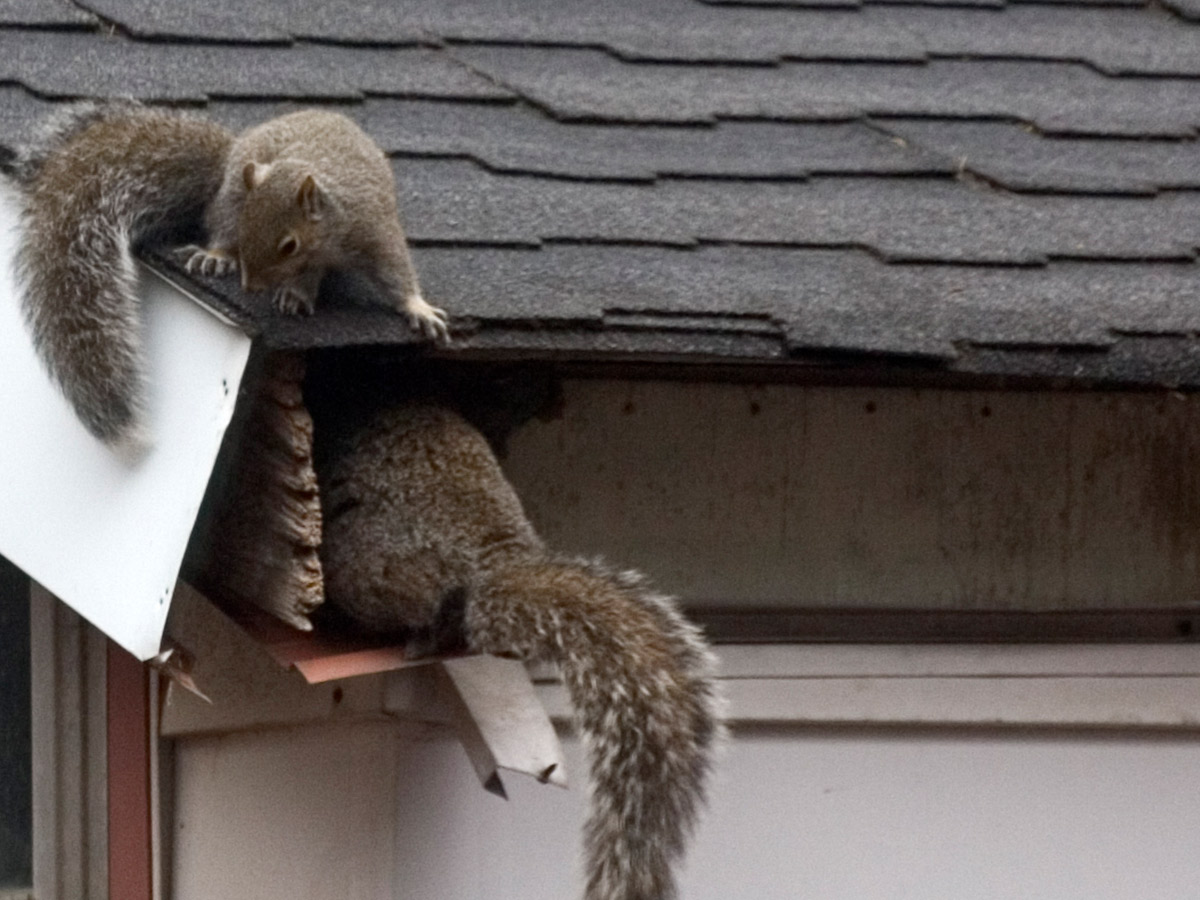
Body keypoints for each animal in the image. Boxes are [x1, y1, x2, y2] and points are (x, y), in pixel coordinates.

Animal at [12, 102, 446, 451]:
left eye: (288, 244)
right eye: (246, 227)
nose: (250, 286)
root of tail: (230, 156)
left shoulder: (371, 228)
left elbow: (394, 269)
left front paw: (418, 308)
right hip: (233, 189)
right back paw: (218, 257)